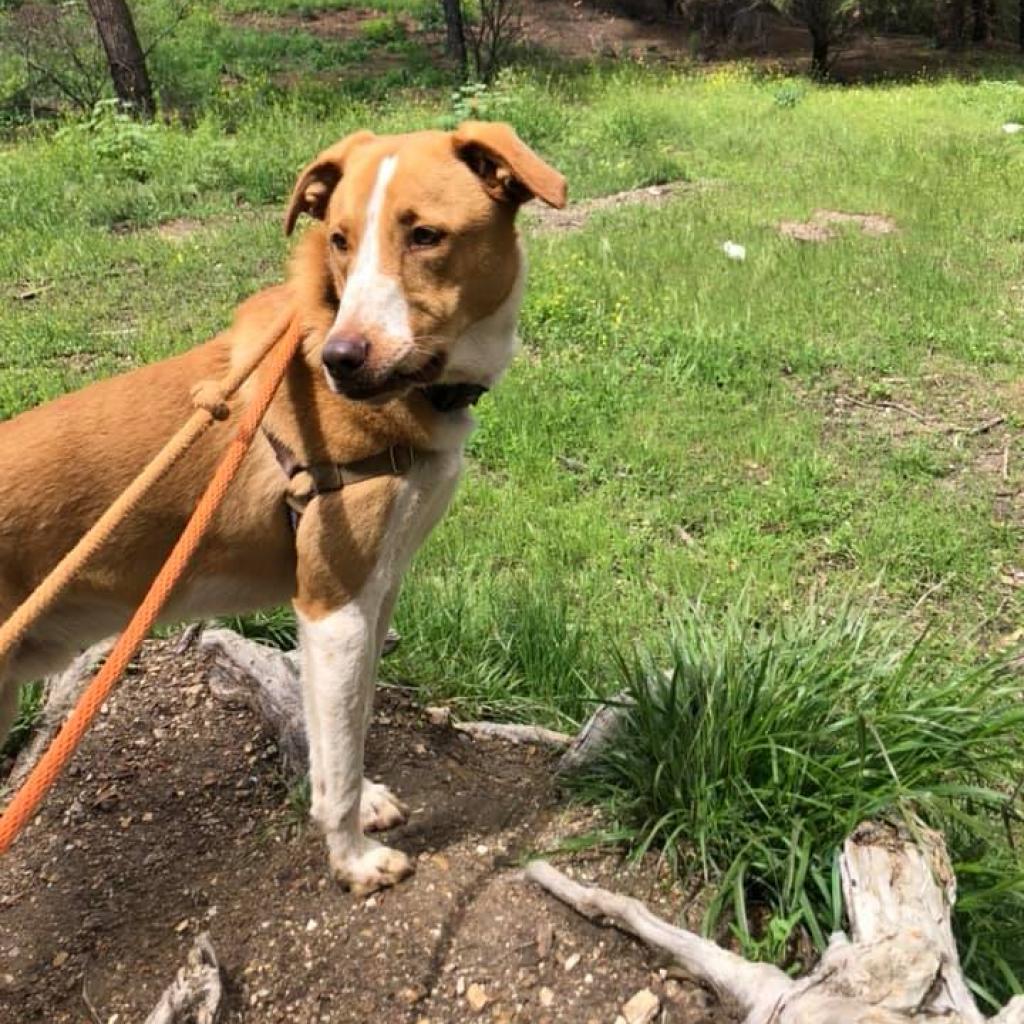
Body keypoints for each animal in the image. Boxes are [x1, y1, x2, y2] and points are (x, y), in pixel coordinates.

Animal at [0, 119, 569, 892]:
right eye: (339, 239)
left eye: (425, 235)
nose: (342, 360)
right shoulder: (334, 603)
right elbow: (340, 758)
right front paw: (352, 857)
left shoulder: (369, 595)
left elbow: (343, 733)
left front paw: (364, 804)